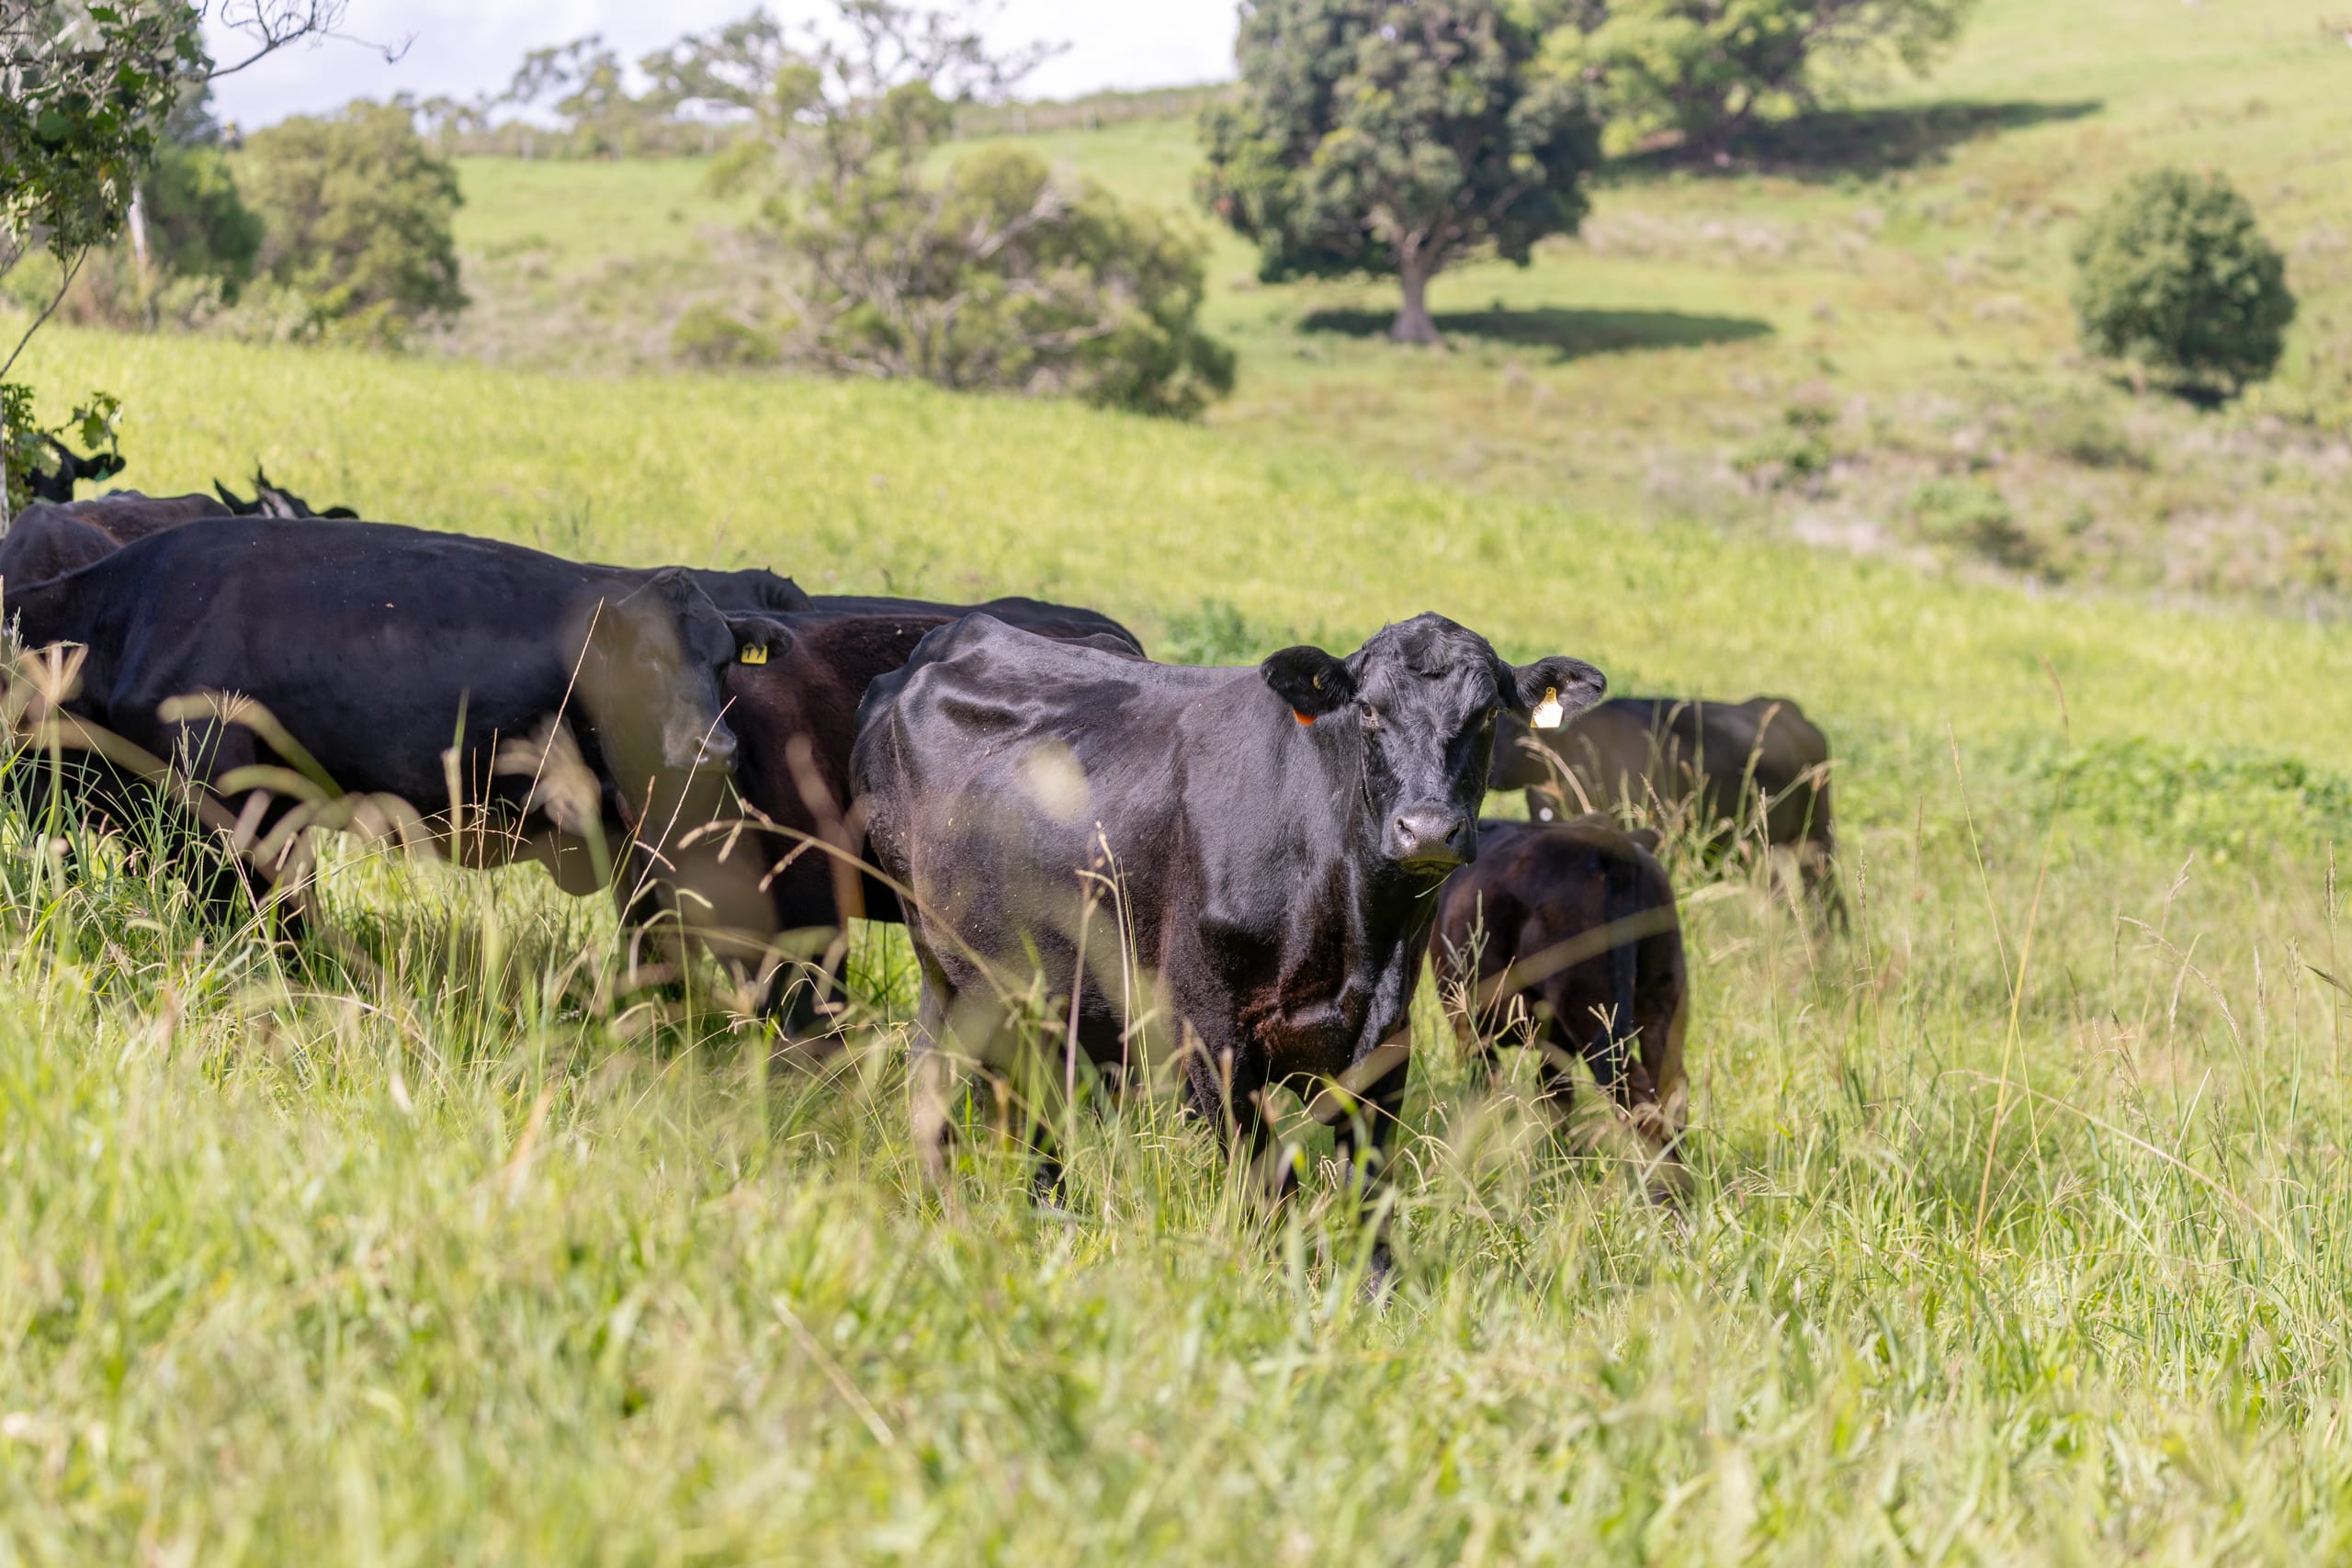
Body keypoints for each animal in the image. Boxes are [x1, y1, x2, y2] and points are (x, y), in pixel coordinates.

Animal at [851, 610, 1604, 1236]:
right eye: (1368, 709)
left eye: (1486, 715)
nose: (1426, 828)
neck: (1353, 928)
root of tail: (947, 640)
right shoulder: (1210, 1035)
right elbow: (1269, 1191)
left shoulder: (1385, 1041)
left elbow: (1370, 1200)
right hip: (945, 964)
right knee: (945, 1085)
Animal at [1433, 816, 1688, 1187]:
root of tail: (1615, 847)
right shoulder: (1553, 1040)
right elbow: (1554, 1096)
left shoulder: (1465, 1018)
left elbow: (1487, 1087)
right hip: (1662, 998)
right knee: (1671, 1089)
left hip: (1593, 1013)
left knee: (1635, 1093)